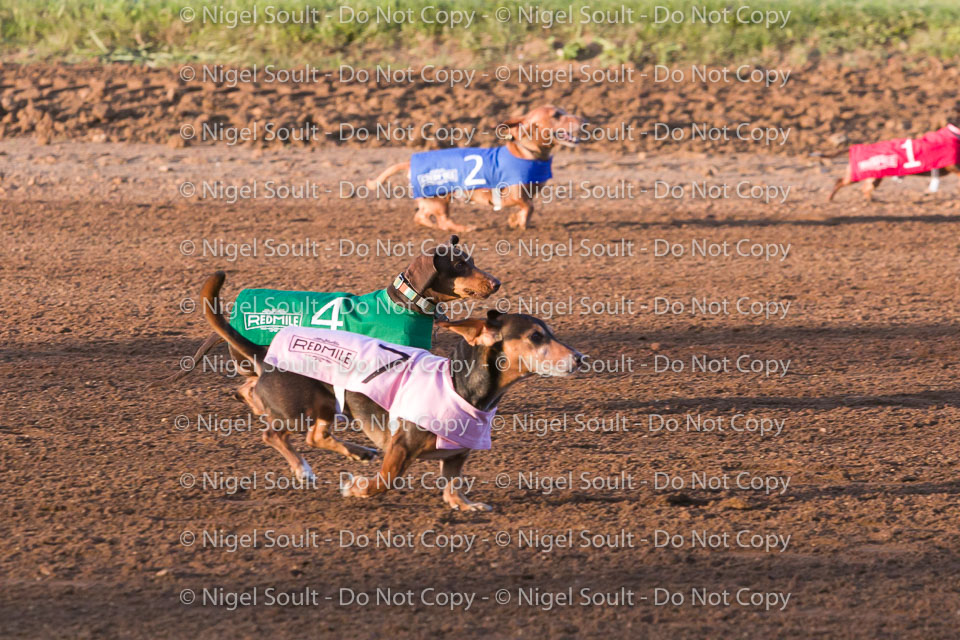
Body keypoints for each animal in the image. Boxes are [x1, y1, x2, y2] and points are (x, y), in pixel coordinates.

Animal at [199, 272, 580, 512]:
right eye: (535, 337)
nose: (579, 357)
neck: (461, 387)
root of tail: (265, 352)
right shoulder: (401, 447)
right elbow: (386, 481)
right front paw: (358, 489)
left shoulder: (456, 455)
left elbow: (453, 483)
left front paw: (463, 504)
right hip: (299, 406)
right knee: (275, 434)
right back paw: (304, 468)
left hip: (327, 402)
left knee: (314, 435)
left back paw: (357, 451)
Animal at [364, 105, 580, 232]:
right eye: (556, 115)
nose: (582, 120)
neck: (525, 152)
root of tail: (410, 162)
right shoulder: (512, 195)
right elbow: (529, 206)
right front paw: (520, 222)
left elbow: (527, 207)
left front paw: (515, 220)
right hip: (441, 199)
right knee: (441, 220)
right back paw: (463, 228)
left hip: (431, 200)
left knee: (420, 216)